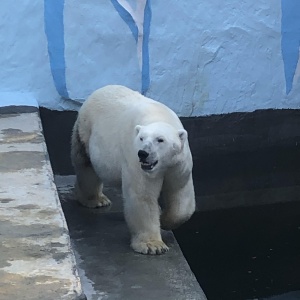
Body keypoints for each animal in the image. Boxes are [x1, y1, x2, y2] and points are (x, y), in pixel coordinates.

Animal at [71, 85, 196, 255]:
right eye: (141, 138)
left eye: (160, 139)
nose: (143, 153)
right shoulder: (137, 163)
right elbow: (142, 196)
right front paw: (153, 245)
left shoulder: (178, 164)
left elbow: (180, 195)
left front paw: (164, 220)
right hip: (85, 132)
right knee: (87, 167)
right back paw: (96, 200)